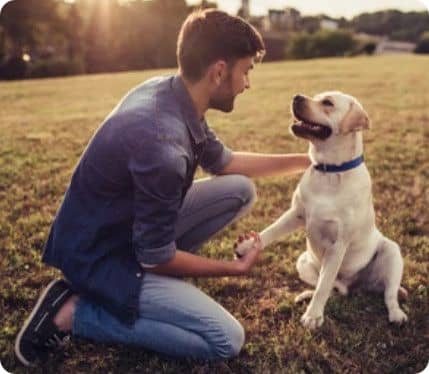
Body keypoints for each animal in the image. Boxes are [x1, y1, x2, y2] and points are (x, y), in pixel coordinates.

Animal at [236, 92, 406, 328]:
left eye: (327, 103)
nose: (296, 96)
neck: (329, 171)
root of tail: (355, 286)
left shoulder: (338, 244)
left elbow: (324, 285)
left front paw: (314, 316)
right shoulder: (296, 213)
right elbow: (270, 231)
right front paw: (247, 246)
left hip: (391, 251)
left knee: (387, 294)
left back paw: (396, 314)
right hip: (302, 261)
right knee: (333, 288)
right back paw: (306, 295)